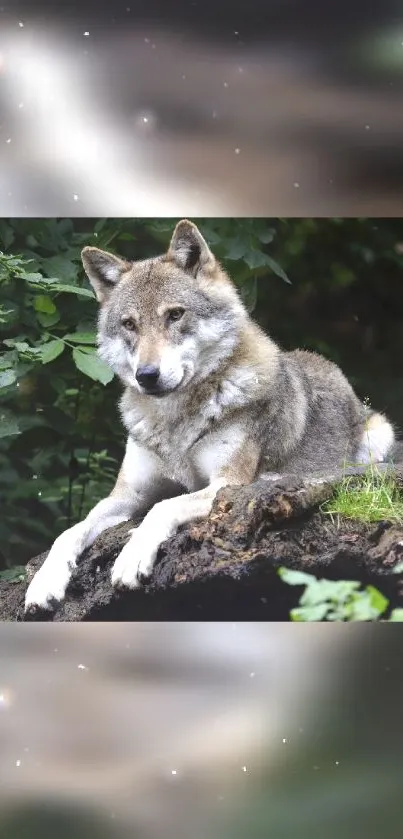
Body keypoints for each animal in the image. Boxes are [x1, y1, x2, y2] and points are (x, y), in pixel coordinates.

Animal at [23, 218, 396, 612]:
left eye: (175, 314)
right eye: (129, 325)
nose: (146, 375)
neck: (175, 423)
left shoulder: (226, 484)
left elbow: (162, 507)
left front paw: (131, 558)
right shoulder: (126, 495)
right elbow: (70, 531)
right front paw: (44, 582)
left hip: (378, 434)